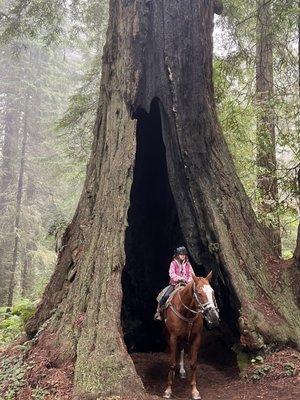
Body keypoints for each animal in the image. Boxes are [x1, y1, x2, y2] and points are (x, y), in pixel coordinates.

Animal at [163, 272, 219, 400]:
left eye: (212, 292)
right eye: (199, 293)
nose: (214, 317)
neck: (186, 312)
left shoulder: (196, 338)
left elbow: (193, 364)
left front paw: (194, 391)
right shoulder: (173, 337)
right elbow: (172, 363)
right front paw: (168, 390)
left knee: (182, 350)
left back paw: (182, 371)